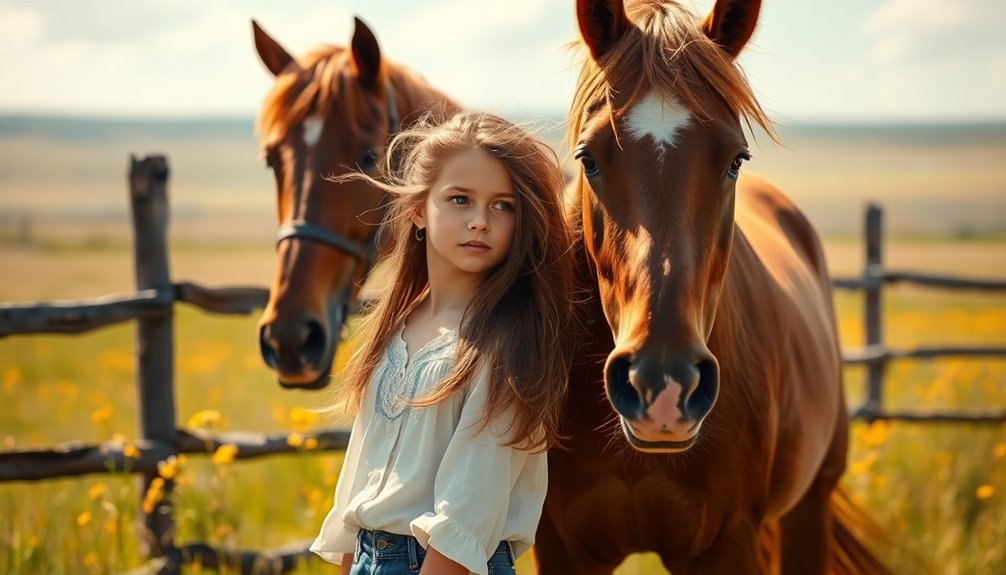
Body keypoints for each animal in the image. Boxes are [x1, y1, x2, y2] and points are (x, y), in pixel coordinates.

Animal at [535, 1, 892, 573]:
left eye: (735, 159)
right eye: (587, 158)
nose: (662, 384)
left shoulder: (729, 539)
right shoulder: (563, 546)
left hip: (810, 504)